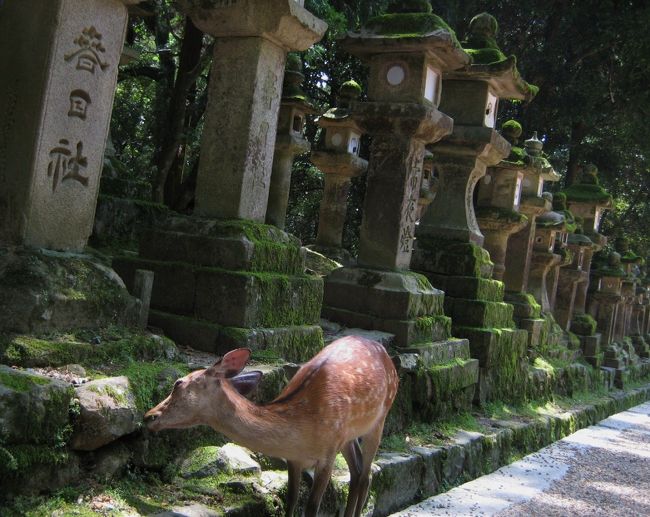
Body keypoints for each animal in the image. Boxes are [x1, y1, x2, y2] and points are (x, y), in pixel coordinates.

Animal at [145, 335, 399, 517]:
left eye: (178, 384)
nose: (149, 416)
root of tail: (386, 353)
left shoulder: (327, 454)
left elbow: (311, 508)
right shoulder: (295, 458)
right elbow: (291, 501)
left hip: (380, 417)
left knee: (366, 474)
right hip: (348, 436)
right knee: (357, 471)